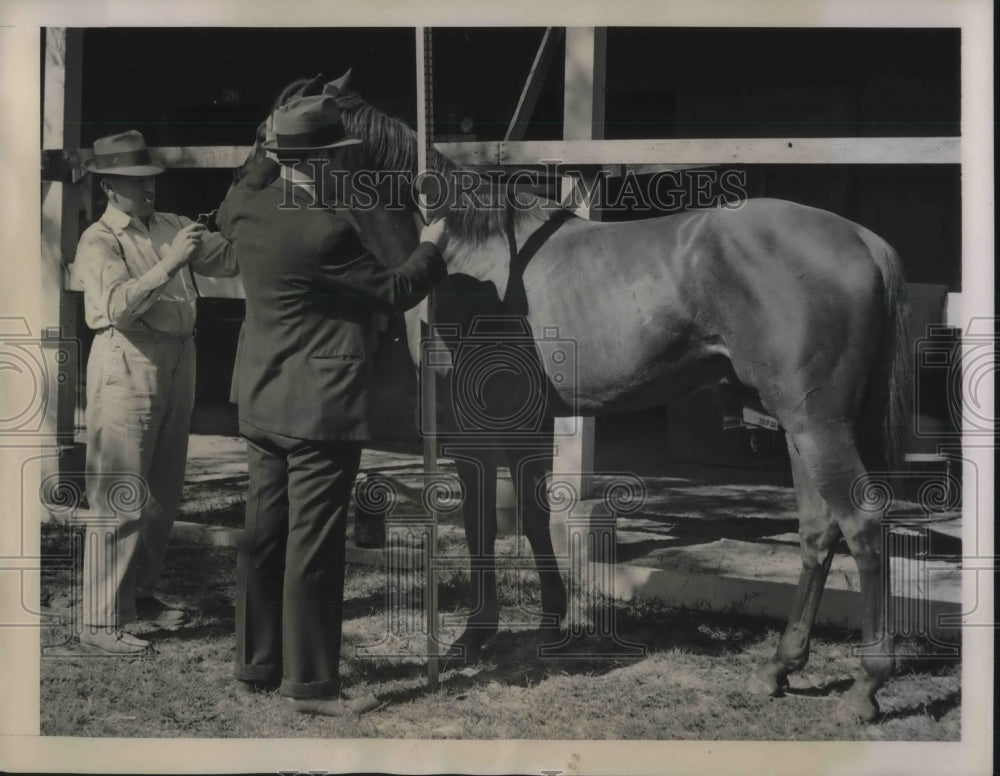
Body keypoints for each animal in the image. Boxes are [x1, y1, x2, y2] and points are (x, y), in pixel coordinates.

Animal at [244, 69, 916, 724]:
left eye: (265, 134)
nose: (243, 195)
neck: (466, 250)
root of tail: (864, 240)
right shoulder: (529, 422)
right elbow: (533, 516)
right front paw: (551, 621)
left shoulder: (471, 430)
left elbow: (481, 521)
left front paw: (472, 636)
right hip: (800, 426)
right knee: (819, 533)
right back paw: (778, 668)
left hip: (818, 425)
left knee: (863, 524)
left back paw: (865, 688)